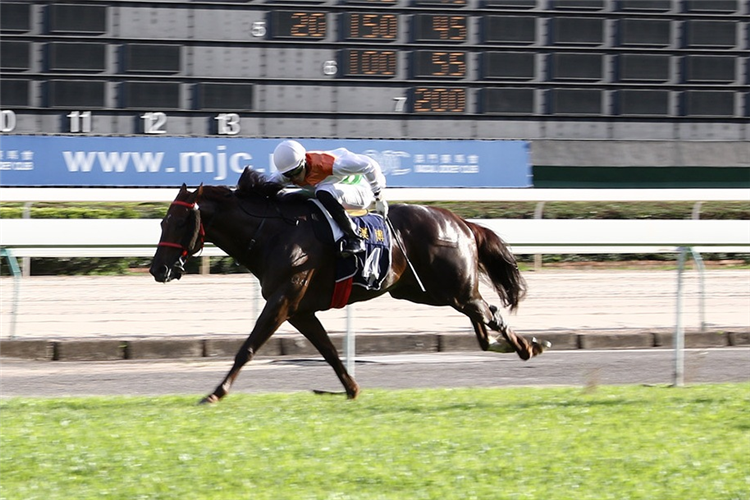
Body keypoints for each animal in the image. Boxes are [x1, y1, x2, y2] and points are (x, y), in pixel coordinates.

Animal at [150, 168, 548, 402]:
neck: (272, 232)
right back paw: (506, 344)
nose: (158, 269)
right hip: (425, 291)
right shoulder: (300, 309)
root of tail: (462, 222)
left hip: (449, 289)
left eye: (180, 221)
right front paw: (351, 388)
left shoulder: (283, 300)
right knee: (482, 315)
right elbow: (327, 350)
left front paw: (215, 393)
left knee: (488, 311)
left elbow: (247, 348)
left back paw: (527, 346)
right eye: (163, 222)